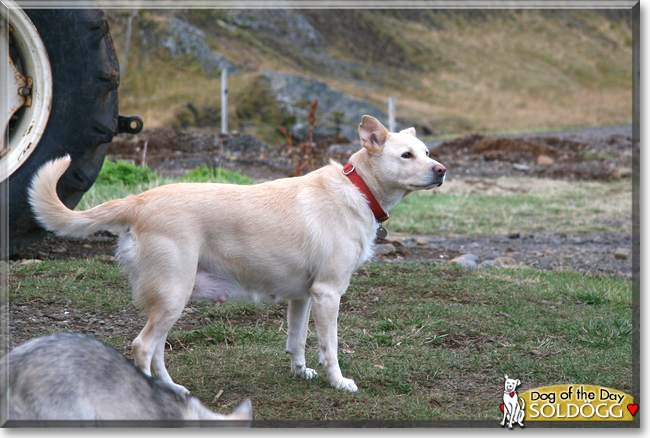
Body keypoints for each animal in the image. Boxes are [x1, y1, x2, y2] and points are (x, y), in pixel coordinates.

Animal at [27, 115, 442, 394]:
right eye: (406, 155)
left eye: (426, 153)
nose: (442, 170)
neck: (358, 189)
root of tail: (140, 200)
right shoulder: (328, 293)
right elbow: (330, 347)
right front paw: (338, 381)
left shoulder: (303, 296)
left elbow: (296, 341)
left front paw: (300, 372)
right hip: (173, 295)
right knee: (143, 347)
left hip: (171, 299)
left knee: (155, 349)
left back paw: (172, 389)